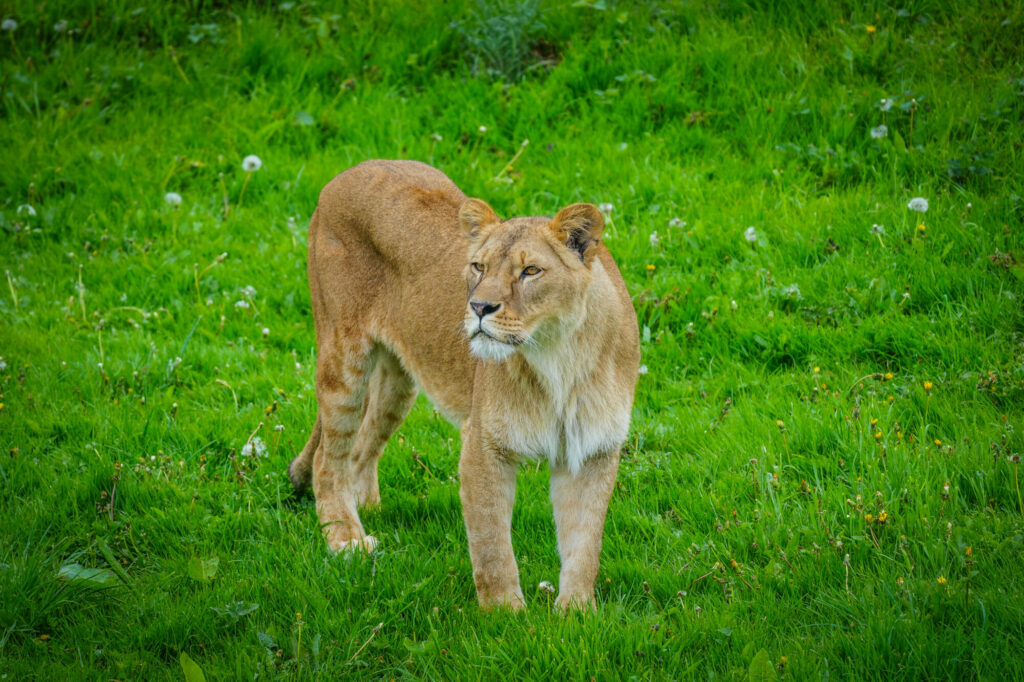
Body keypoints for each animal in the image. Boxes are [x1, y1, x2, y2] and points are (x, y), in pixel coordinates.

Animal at [288, 160, 640, 609]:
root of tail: (349, 170)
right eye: (478, 267)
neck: (559, 356)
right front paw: (506, 614)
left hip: (400, 382)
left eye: (530, 271)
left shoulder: (593, 449)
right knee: (327, 459)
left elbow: (585, 545)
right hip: (344, 355)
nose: (479, 307)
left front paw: (576, 613)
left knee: (361, 447)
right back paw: (346, 538)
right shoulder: (483, 443)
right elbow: (492, 545)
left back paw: (368, 509)